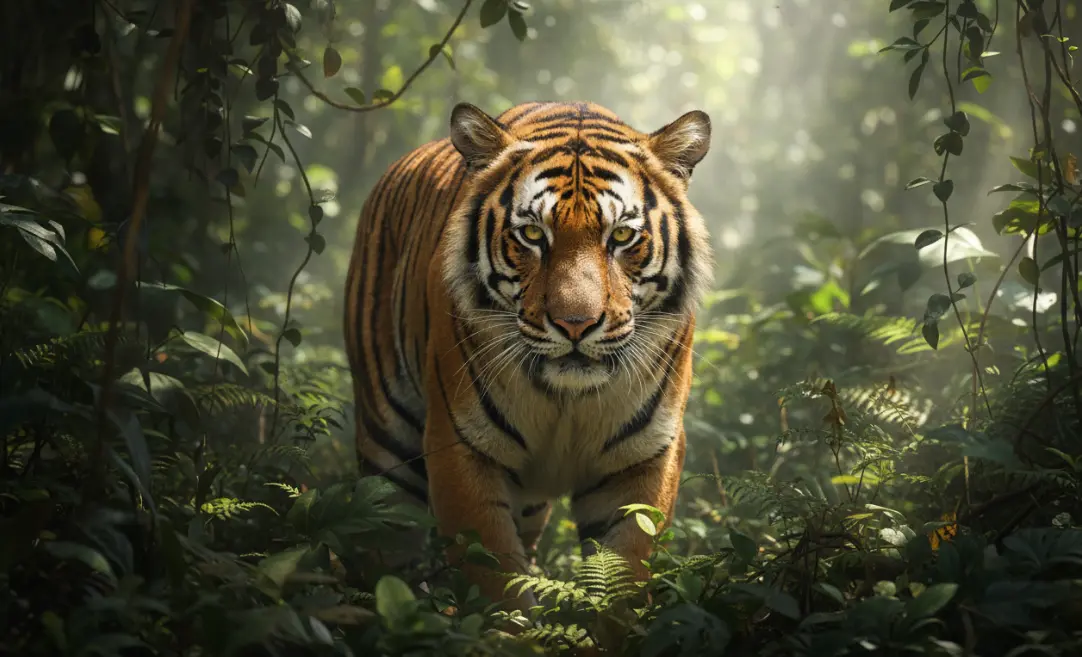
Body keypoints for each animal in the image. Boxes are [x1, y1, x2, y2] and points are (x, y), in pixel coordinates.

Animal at [343, 100, 713, 609]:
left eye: (621, 236)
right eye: (534, 234)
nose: (575, 324)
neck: (568, 398)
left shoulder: (643, 457)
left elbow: (622, 583)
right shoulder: (461, 447)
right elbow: (497, 585)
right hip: (386, 449)